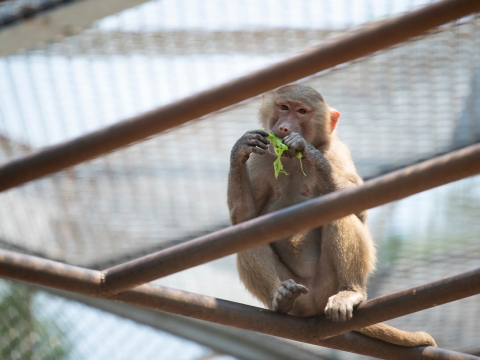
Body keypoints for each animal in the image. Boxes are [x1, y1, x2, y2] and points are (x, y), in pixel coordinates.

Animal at [227, 85, 436, 348]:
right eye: (283, 107)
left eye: (302, 111)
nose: (284, 128)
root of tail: (313, 307)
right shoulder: (261, 156)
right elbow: (244, 218)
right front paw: (240, 147)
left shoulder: (337, 152)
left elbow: (359, 209)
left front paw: (308, 151)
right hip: (297, 291)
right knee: (246, 234)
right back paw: (281, 299)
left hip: (327, 285)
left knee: (338, 211)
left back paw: (351, 293)